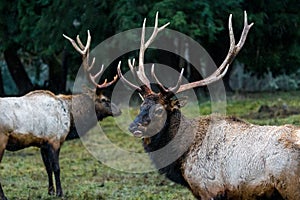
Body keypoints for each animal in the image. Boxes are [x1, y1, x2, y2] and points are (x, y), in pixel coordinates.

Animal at [0, 30, 120, 199]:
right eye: (105, 99)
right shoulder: (55, 139)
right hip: (2, 139)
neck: (70, 117)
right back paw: (3, 196)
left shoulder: (43, 143)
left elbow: (47, 168)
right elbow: (56, 168)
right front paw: (60, 192)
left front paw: (50, 191)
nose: (119, 110)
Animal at [118, 11, 300, 199]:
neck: (181, 158)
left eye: (160, 110)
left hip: (290, 186)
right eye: (142, 105)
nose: (133, 126)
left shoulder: (209, 188)